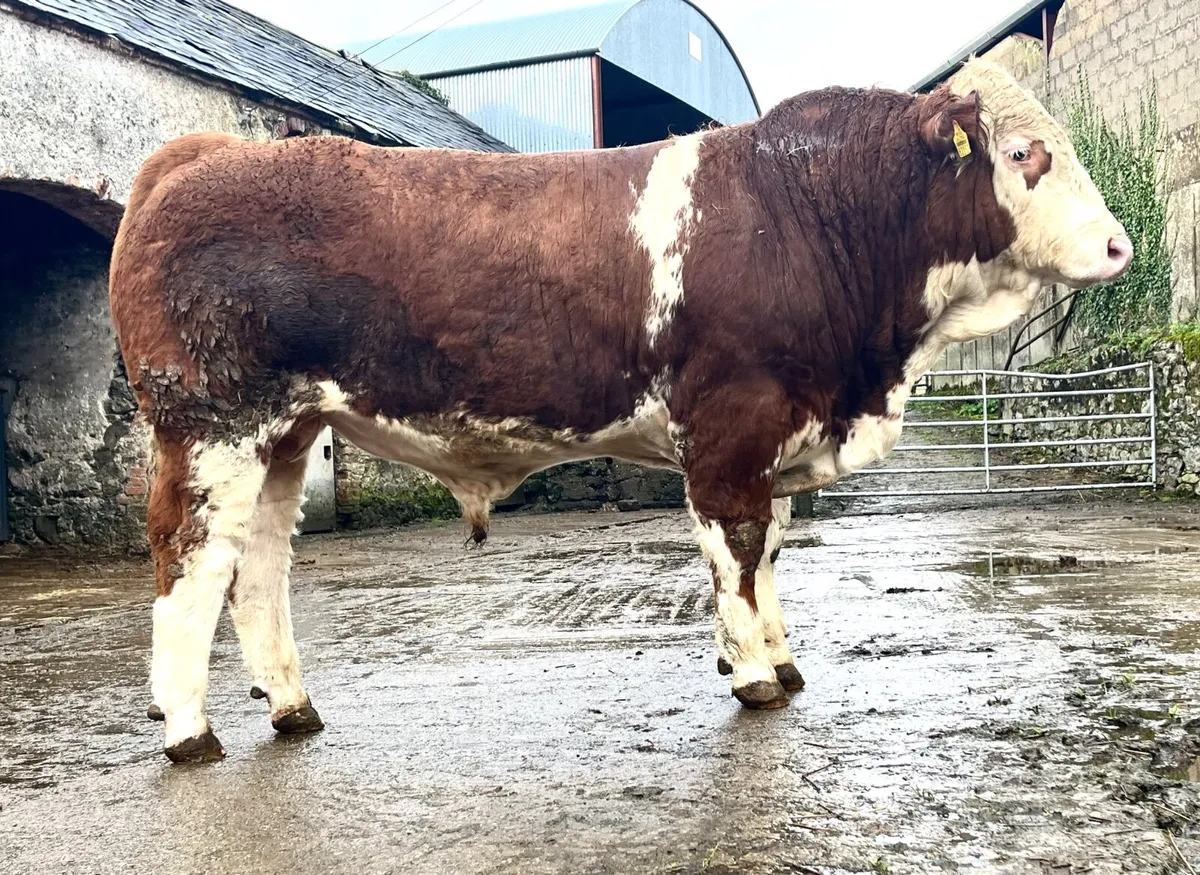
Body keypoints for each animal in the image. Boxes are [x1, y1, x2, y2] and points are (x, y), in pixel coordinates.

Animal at [108, 57, 1132, 763]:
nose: (1121, 246)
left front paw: (779, 658)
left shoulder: (778, 436)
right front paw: (754, 674)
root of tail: (206, 153)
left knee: (259, 569)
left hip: (285, 434)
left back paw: (291, 706)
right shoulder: (728, 428)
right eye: (1023, 153)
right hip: (212, 426)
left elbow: (772, 551)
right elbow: (738, 550)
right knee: (189, 559)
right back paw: (187, 729)